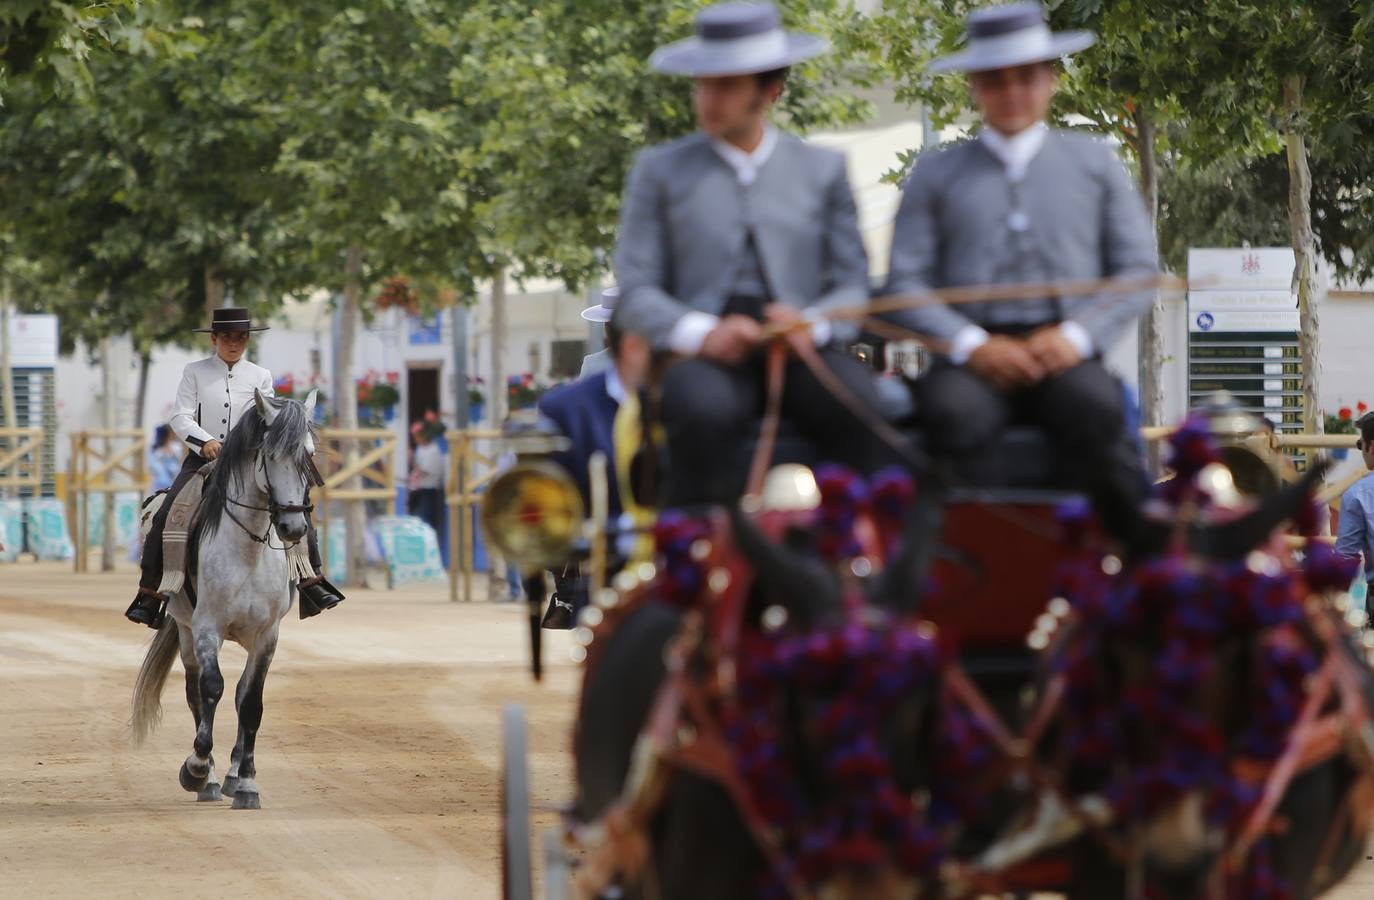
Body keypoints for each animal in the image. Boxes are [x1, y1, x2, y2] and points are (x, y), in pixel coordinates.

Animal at [130, 387, 318, 807]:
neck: (248, 548)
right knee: (196, 693)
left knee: (238, 694)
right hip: (185, 630)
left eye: (309, 454)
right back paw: (210, 779)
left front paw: (246, 783)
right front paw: (197, 769)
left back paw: (230, 775)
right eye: (270, 455)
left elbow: (250, 702)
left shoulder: (267, 636)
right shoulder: (207, 627)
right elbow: (211, 689)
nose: (293, 526)